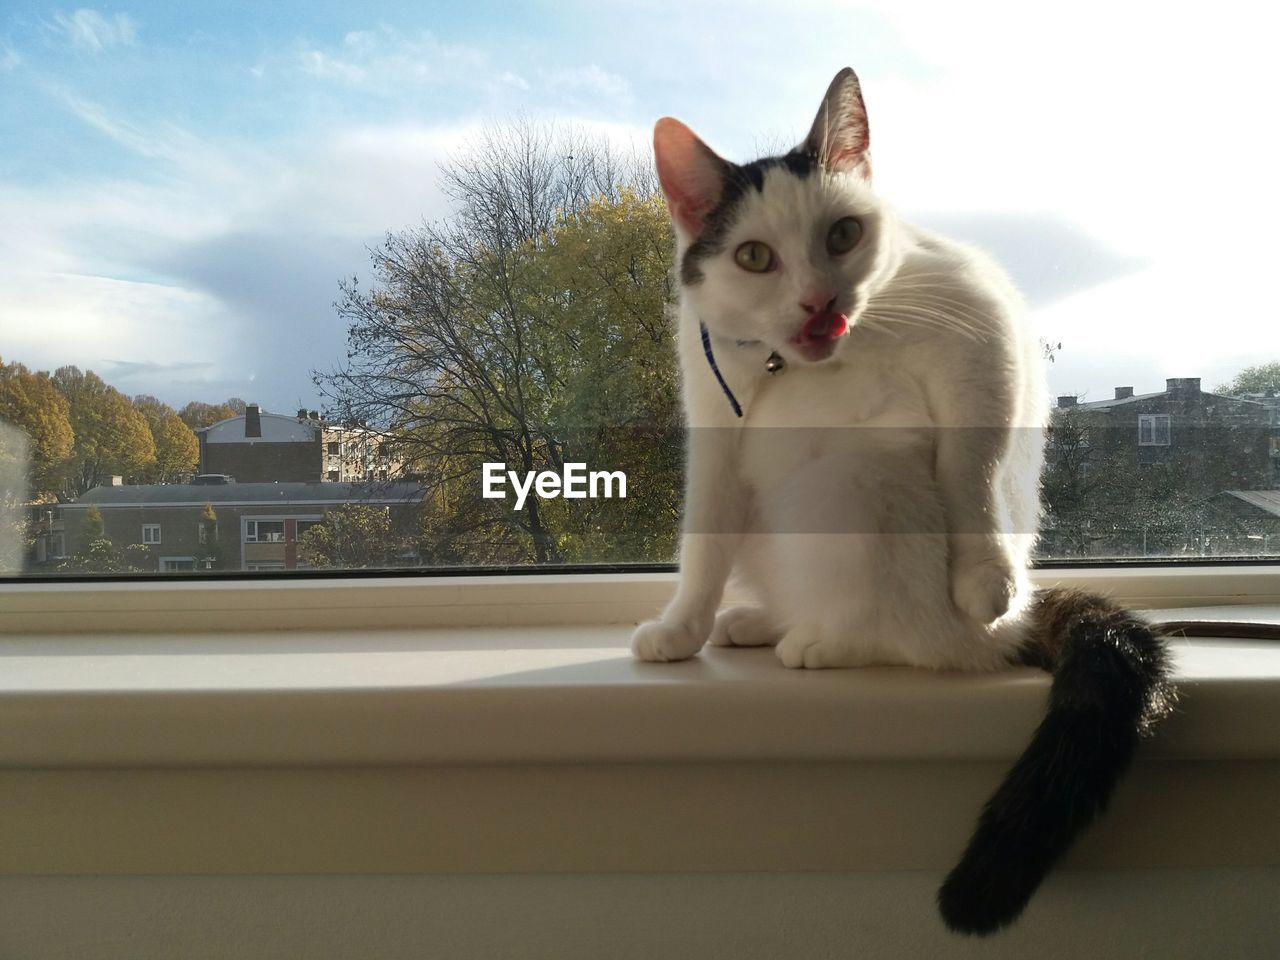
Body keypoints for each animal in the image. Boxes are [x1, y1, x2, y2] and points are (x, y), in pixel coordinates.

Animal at [624, 69, 1172, 942]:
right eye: (754, 256)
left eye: (843, 234)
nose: (817, 301)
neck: (795, 364)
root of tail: (1017, 635)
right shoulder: (712, 429)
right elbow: (702, 545)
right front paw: (683, 628)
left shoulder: (979, 337)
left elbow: (974, 468)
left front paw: (984, 574)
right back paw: (761, 620)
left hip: (855, 474)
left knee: (921, 638)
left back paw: (832, 640)